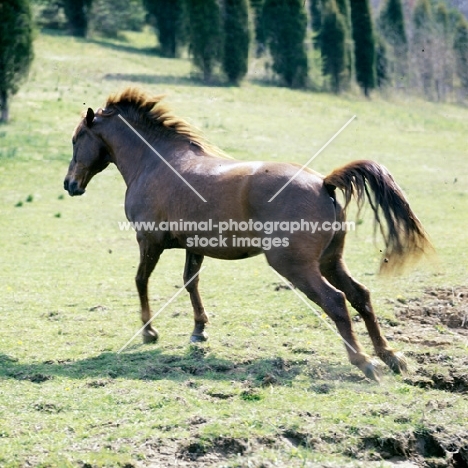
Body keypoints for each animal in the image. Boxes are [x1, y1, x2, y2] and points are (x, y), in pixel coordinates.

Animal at [63, 87, 432, 380]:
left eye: (76, 140)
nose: (69, 184)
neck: (156, 163)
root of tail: (323, 183)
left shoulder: (148, 242)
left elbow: (141, 280)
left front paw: (149, 331)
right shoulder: (194, 246)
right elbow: (190, 282)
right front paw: (199, 330)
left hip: (295, 265)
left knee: (336, 301)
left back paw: (364, 362)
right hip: (330, 261)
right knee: (361, 296)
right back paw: (390, 356)